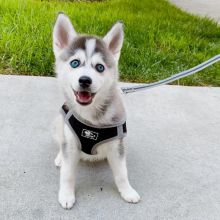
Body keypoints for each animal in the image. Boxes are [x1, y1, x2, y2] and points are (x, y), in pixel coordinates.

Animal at [52, 12, 140, 209]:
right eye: (75, 63)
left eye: (100, 67)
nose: (85, 80)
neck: (91, 117)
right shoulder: (70, 142)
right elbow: (67, 174)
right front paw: (66, 195)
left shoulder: (117, 145)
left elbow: (122, 173)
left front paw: (128, 191)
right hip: (59, 123)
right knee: (61, 143)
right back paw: (60, 158)